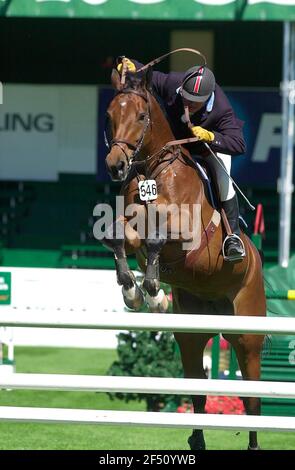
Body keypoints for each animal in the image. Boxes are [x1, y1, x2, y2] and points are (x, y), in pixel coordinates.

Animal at [102, 68, 266, 450]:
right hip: (191, 334)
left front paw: (151, 291)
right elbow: (119, 235)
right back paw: (197, 440)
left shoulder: (189, 240)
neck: (154, 171)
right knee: (197, 390)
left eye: (142, 116)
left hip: (248, 337)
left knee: (253, 399)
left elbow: (157, 238)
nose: (116, 166)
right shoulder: (131, 227)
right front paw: (134, 291)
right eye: (110, 115)